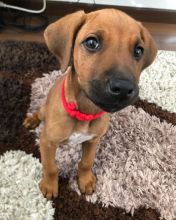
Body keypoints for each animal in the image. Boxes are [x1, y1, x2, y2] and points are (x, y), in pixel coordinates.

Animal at [23, 9, 157, 199]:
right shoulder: (47, 142)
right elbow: (50, 166)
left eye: (138, 51)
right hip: (43, 111)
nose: (123, 88)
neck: (85, 110)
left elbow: (86, 162)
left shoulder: (93, 141)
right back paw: (31, 120)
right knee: (38, 112)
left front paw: (85, 181)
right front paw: (49, 185)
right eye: (92, 43)